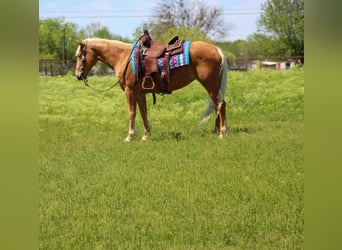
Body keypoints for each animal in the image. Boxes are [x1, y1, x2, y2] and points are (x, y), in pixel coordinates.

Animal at [76, 38, 228, 142]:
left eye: (78, 56)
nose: (78, 75)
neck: (123, 57)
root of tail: (216, 49)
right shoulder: (140, 93)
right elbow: (144, 113)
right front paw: (146, 136)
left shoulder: (130, 91)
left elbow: (131, 113)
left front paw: (129, 137)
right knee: (218, 105)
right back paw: (216, 131)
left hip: (210, 85)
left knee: (221, 105)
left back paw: (222, 133)